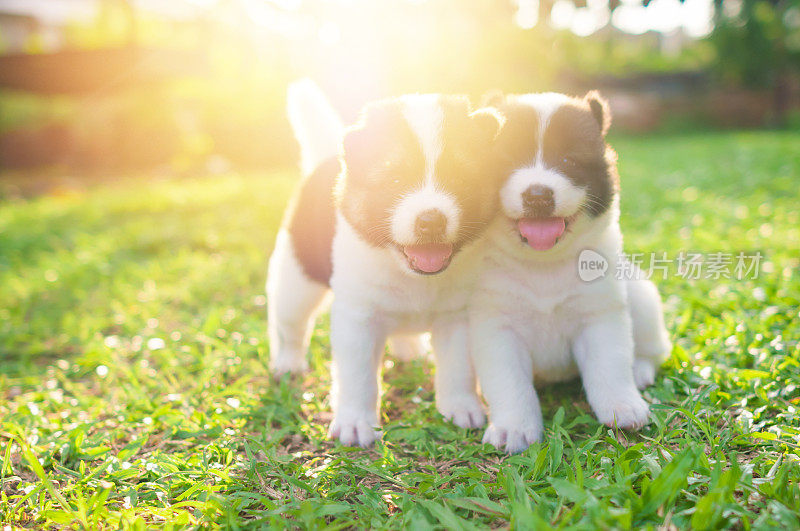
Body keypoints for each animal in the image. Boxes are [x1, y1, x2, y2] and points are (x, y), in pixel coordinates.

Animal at [268, 81, 506, 446]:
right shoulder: (357, 320)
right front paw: (355, 421)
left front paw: (460, 406)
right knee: (290, 324)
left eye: (460, 180)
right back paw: (288, 362)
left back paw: (410, 349)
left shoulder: (459, 317)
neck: (411, 274)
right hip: (296, 279)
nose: (431, 221)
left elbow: (458, 367)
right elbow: (359, 377)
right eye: (394, 181)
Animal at [472, 91, 672, 454]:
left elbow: (610, 365)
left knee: (653, 349)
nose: (538, 194)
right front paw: (514, 427)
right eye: (507, 160)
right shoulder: (495, 328)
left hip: (641, 297)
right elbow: (508, 383)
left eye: (568, 161)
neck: (543, 265)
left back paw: (639, 370)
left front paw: (622, 407)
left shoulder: (599, 316)